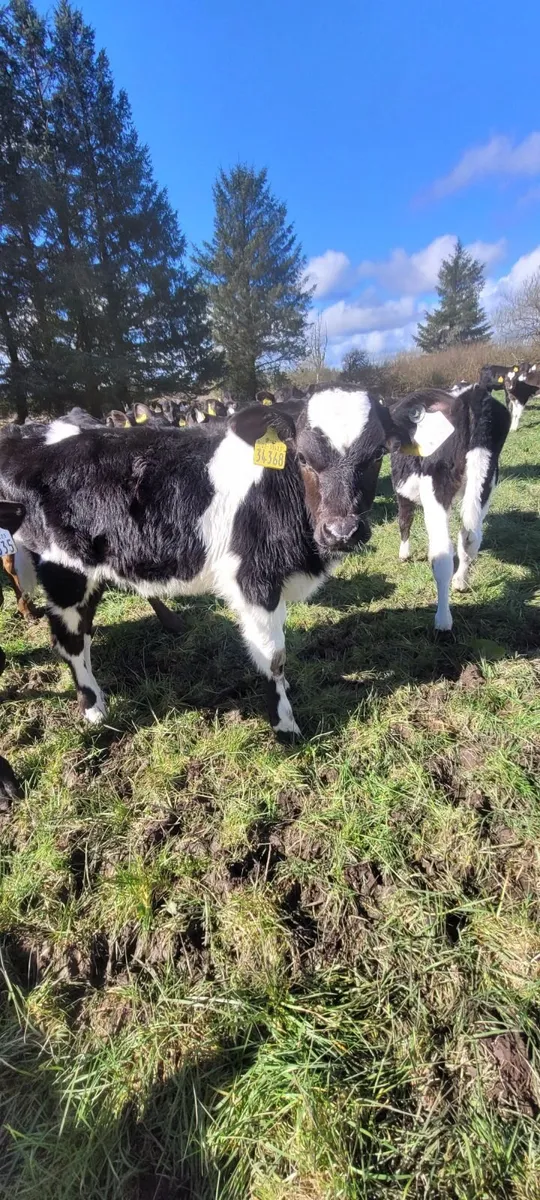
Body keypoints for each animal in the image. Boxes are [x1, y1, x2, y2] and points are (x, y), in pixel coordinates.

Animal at [0, 387, 429, 736]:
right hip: (64, 571)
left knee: (84, 634)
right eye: (304, 457)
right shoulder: (254, 579)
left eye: (377, 455)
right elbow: (274, 657)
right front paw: (285, 725)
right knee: (70, 641)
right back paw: (93, 709)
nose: (342, 531)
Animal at [390, 384, 511, 632]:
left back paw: (443, 621)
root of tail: (473, 396)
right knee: (470, 538)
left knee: (443, 553)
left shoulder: (401, 492)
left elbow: (404, 520)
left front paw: (404, 554)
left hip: (435, 486)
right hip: (486, 478)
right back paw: (460, 582)